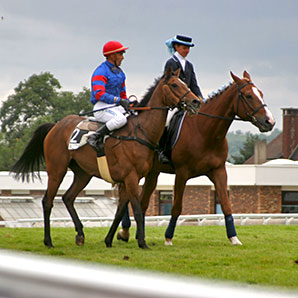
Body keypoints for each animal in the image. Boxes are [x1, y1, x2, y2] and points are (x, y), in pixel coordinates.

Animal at [11, 67, 203, 249]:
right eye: (175, 85)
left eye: (185, 84)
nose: (196, 101)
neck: (140, 131)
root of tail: (55, 125)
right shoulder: (131, 178)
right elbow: (137, 210)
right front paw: (142, 242)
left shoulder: (129, 180)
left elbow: (119, 212)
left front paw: (109, 240)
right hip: (57, 169)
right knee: (47, 201)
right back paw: (48, 241)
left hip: (83, 173)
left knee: (68, 198)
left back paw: (80, 235)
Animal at [118, 71, 274, 246]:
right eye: (248, 96)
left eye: (260, 94)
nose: (270, 122)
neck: (204, 131)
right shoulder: (182, 173)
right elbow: (177, 207)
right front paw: (168, 238)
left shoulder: (219, 171)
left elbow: (226, 205)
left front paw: (234, 238)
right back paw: (124, 231)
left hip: (153, 172)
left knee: (142, 201)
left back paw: (136, 234)